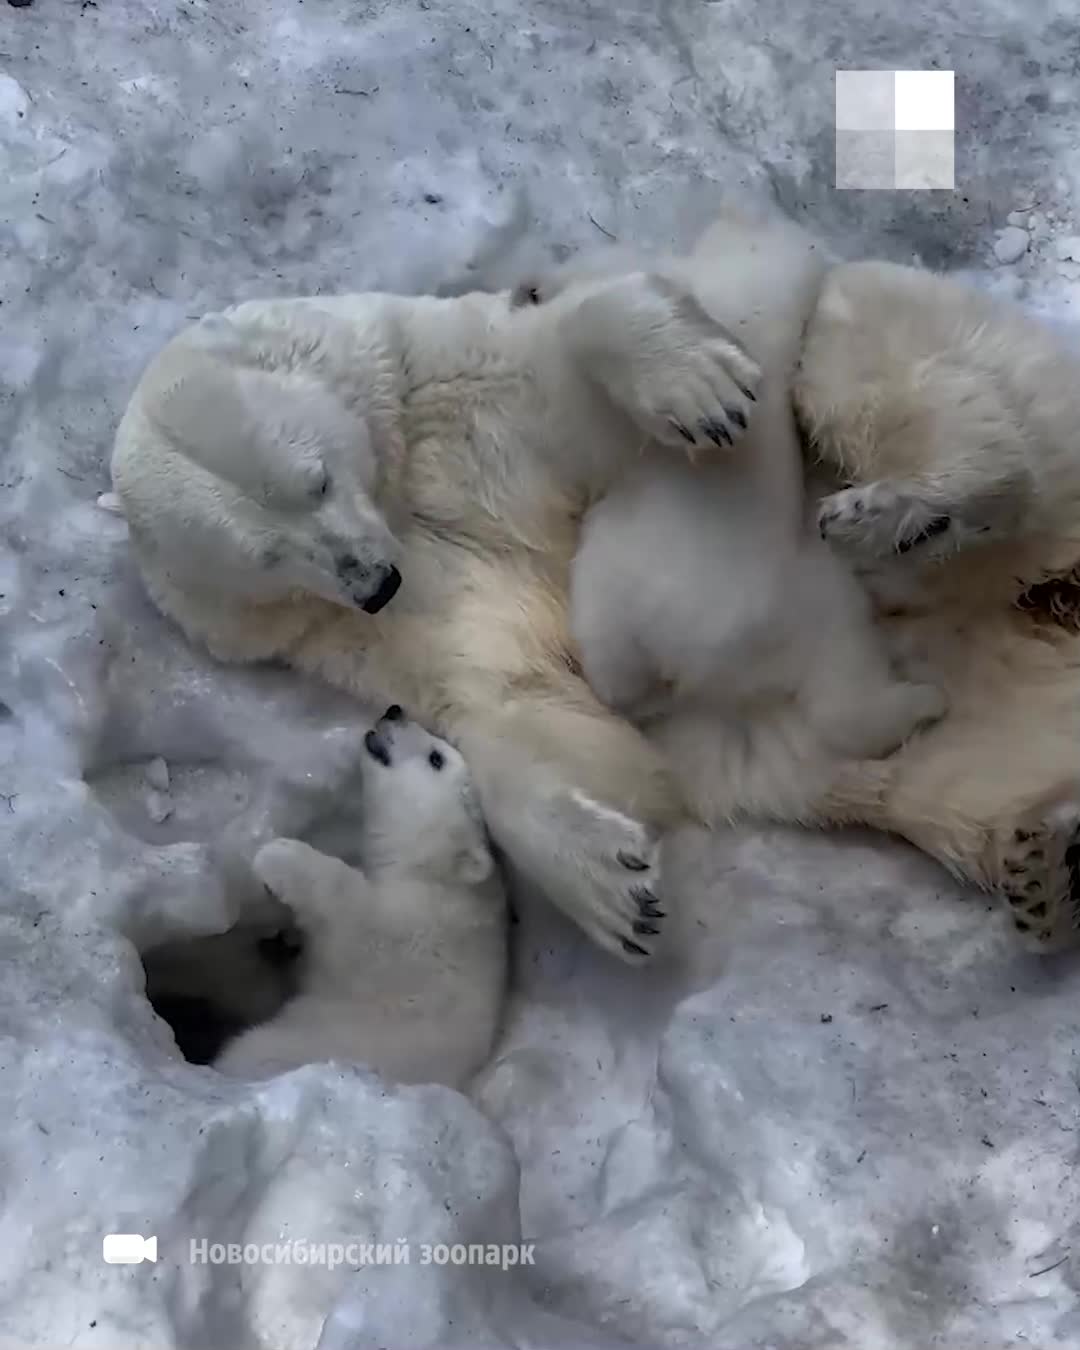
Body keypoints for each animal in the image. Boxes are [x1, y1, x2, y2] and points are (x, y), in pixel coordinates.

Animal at [218, 707, 510, 1085]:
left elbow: (357, 920)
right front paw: (281, 942)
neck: (433, 871)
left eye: (436, 758)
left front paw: (277, 856)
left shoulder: (417, 933)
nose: (394, 711)